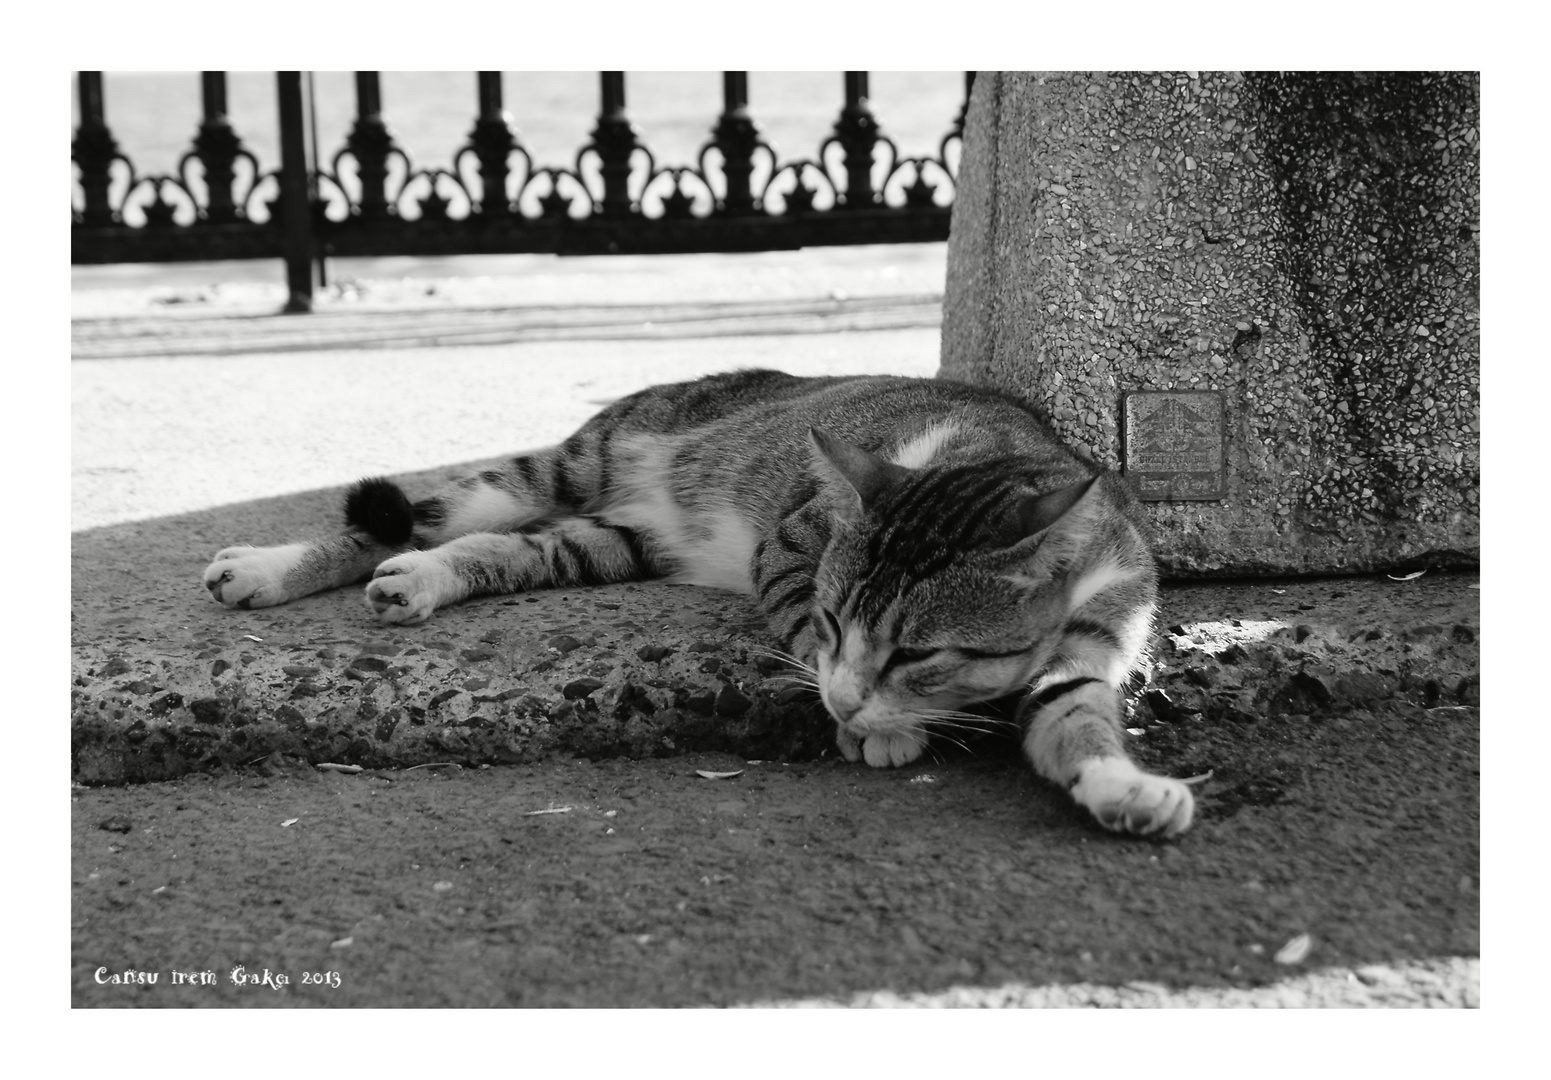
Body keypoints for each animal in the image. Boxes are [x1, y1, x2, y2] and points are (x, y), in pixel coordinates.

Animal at [206, 369, 1191, 837]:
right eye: (834, 622)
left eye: (918, 653)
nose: (848, 705)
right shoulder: (788, 548)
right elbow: (804, 634)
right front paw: (872, 728)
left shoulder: (1097, 634)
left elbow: (1074, 718)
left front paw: (1125, 788)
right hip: (565, 465)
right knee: (412, 516)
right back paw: (268, 567)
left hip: (610, 539)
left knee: (499, 549)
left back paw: (423, 579)